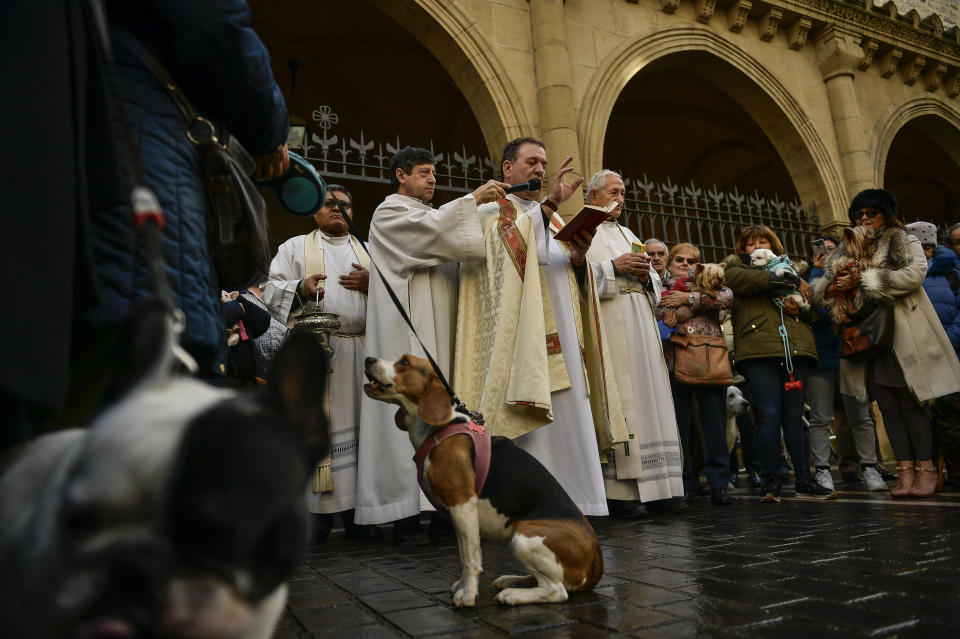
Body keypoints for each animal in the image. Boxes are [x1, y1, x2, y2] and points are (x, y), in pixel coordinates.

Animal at [364, 356, 604, 608]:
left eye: (404, 362)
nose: (368, 359)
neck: (439, 429)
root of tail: (596, 555)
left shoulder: (462, 503)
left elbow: (469, 559)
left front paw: (468, 595)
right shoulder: (463, 516)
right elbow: (466, 553)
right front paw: (463, 586)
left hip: (522, 538)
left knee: (557, 590)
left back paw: (513, 595)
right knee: (544, 581)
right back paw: (513, 580)